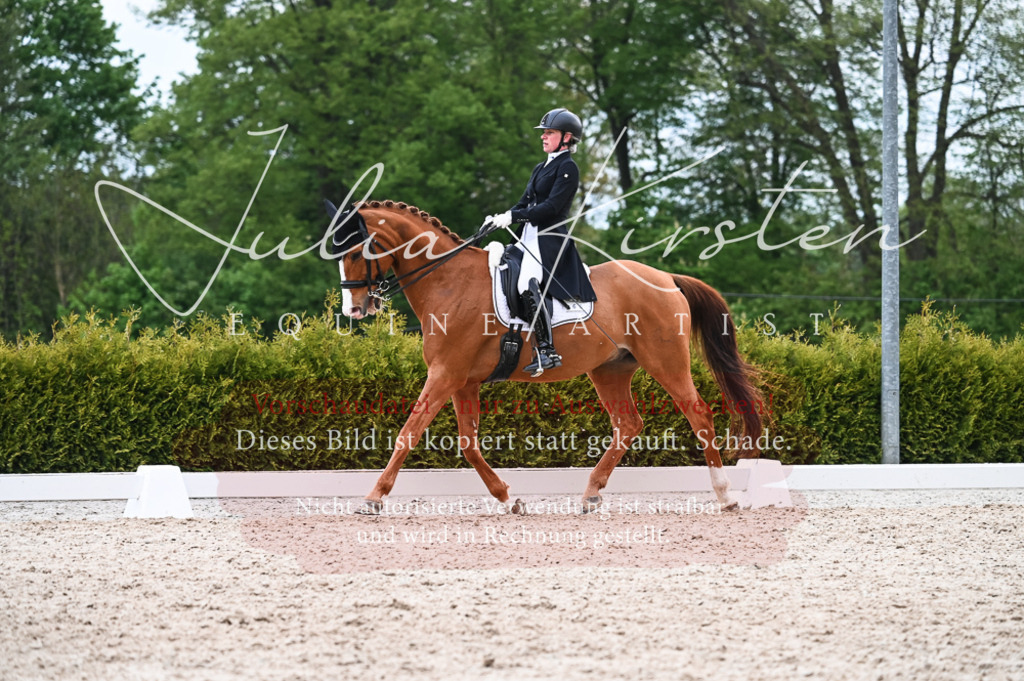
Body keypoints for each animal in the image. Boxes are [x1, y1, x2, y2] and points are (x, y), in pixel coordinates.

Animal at [324, 199, 763, 514]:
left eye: (356, 252)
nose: (354, 310)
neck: (448, 282)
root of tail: (666, 278)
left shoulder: (445, 374)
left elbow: (408, 433)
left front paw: (374, 498)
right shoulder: (462, 380)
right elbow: (468, 444)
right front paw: (508, 498)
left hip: (665, 361)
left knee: (698, 414)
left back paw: (726, 496)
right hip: (610, 369)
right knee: (628, 424)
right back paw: (591, 494)